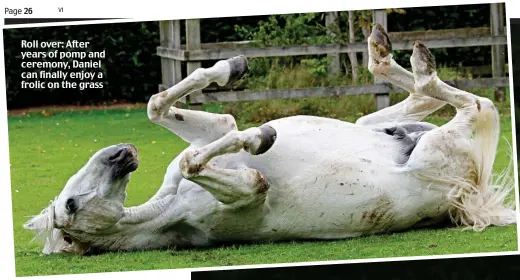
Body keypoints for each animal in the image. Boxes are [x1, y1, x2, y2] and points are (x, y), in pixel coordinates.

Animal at [23, 24, 516, 256]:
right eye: (71, 206)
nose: (121, 153)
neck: (168, 210)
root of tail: (469, 197)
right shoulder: (249, 190)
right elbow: (206, 163)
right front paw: (260, 135)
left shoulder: (212, 132)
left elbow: (162, 108)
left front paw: (229, 71)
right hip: (441, 146)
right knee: (473, 104)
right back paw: (415, 61)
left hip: (385, 124)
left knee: (419, 98)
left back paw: (385, 51)